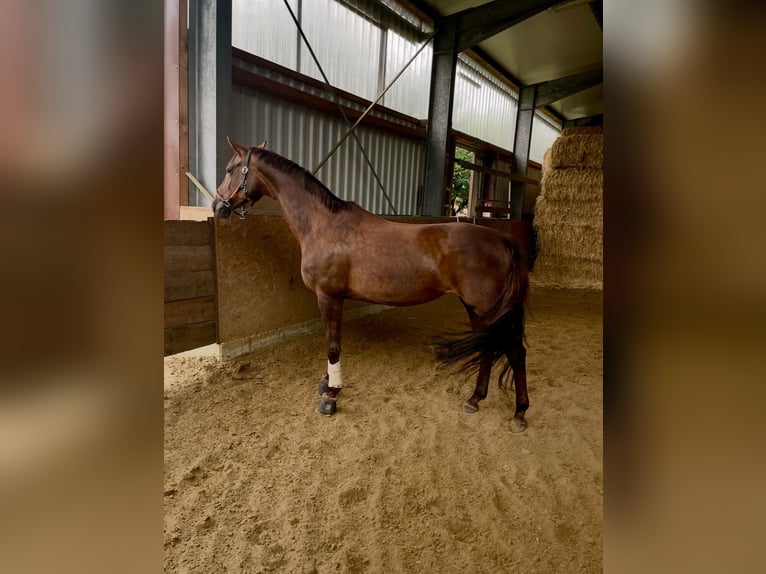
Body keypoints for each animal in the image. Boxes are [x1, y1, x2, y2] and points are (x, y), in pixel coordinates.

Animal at [213, 142, 532, 434]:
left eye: (230, 169)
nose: (218, 206)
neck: (323, 224)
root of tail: (502, 240)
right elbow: (330, 341)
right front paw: (326, 383)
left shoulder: (329, 297)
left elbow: (333, 345)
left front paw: (331, 395)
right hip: (480, 311)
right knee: (490, 348)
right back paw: (475, 399)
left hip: (484, 307)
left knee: (514, 352)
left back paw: (519, 413)